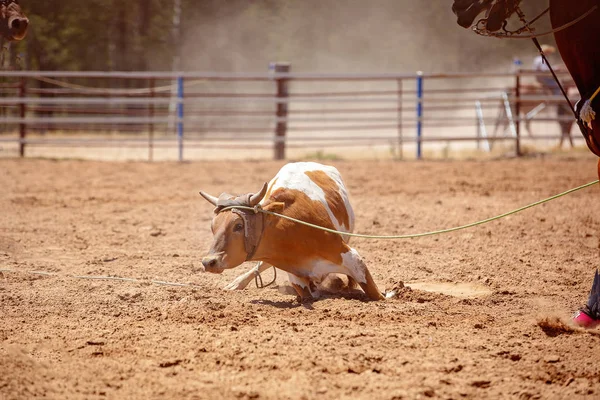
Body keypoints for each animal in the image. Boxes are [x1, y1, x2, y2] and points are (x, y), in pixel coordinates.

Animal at [198, 161, 384, 302]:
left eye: (238, 226)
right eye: (213, 227)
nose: (208, 262)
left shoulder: (351, 258)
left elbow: (376, 294)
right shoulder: (295, 275)